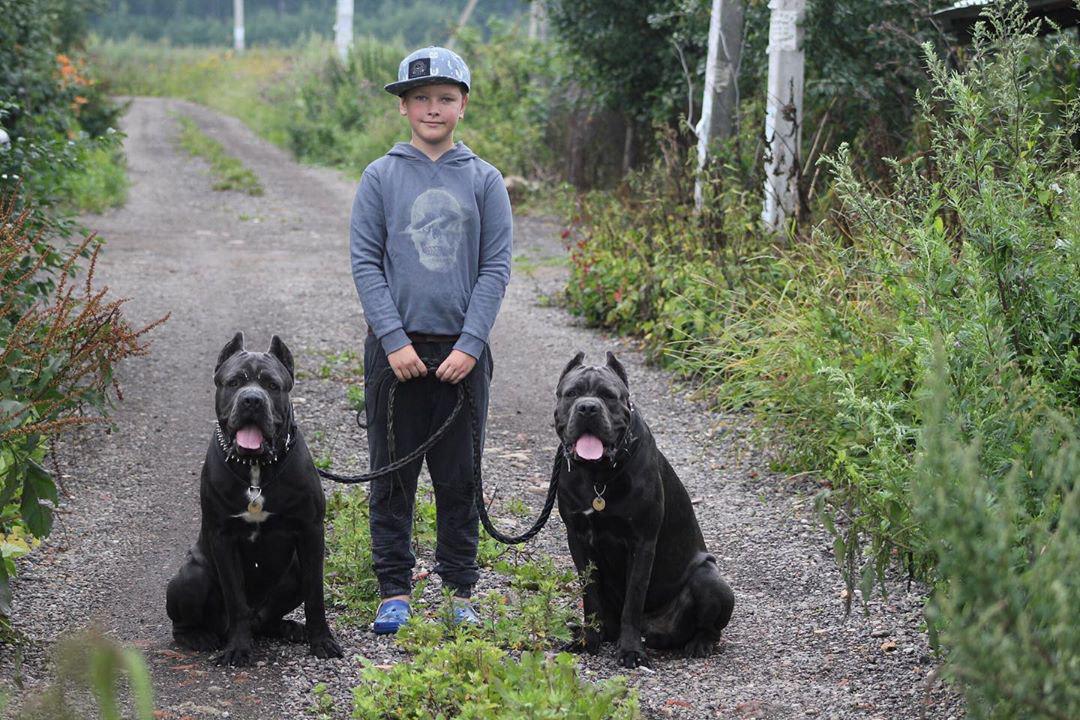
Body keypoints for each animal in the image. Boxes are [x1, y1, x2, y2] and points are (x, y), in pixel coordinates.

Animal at [163, 332, 341, 664]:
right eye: (234, 382)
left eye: (272, 385)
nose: (252, 400)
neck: (256, 467)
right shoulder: (223, 536)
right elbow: (236, 600)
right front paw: (238, 648)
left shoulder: (311, 532)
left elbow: (315, 594)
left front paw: (322, 641)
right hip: (191, 576)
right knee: (184, 624)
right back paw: (200, 636)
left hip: (294, 569)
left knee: (269, 618)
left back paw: (288, 628)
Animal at [557, 351, 734, 669]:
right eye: (572, 393)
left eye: (608, 395)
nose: (588, 407)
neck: (598, 477)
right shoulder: (577, 539)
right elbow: (590, 595)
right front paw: (588, 641)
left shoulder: (642, 542)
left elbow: (633, 600)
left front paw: (630, 652)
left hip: (711, 580)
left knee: (710, 627)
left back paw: (699, 644)